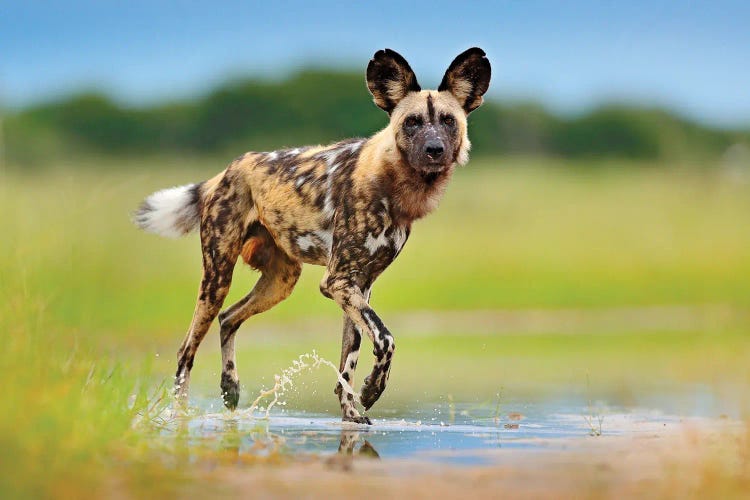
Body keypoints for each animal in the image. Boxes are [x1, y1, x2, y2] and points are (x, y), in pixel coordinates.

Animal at [135, 47, 494, 424]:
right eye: (412, 122)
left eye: (448, 121)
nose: (435, 149)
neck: (393, 184)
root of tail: (228, 170)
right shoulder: (338, 282)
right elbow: (385, 339)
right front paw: (372, 391)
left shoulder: (358, 286)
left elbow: (348, 360)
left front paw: (352, 412)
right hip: (217, 278)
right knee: (186, 349)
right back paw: (180, 417)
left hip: (280, 282)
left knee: (229, 318)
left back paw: (230, 388)